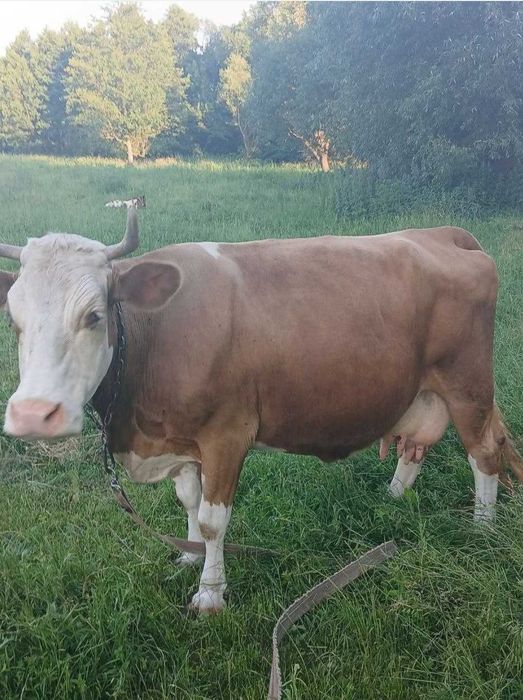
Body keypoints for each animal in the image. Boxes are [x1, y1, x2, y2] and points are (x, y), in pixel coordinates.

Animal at [0, 203, 521, 612]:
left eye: (94, 315)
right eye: (14, 318)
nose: (32, 414)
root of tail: (442, 234)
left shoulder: (226, 435)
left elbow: (212, 520)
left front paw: (210, 593)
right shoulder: (180, 437)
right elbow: (188, 500)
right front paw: (189, 554)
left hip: (467, 383)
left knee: (484, 452)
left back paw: (483, 528)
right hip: (423, 391)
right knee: (415, 448)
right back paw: (391, 500)